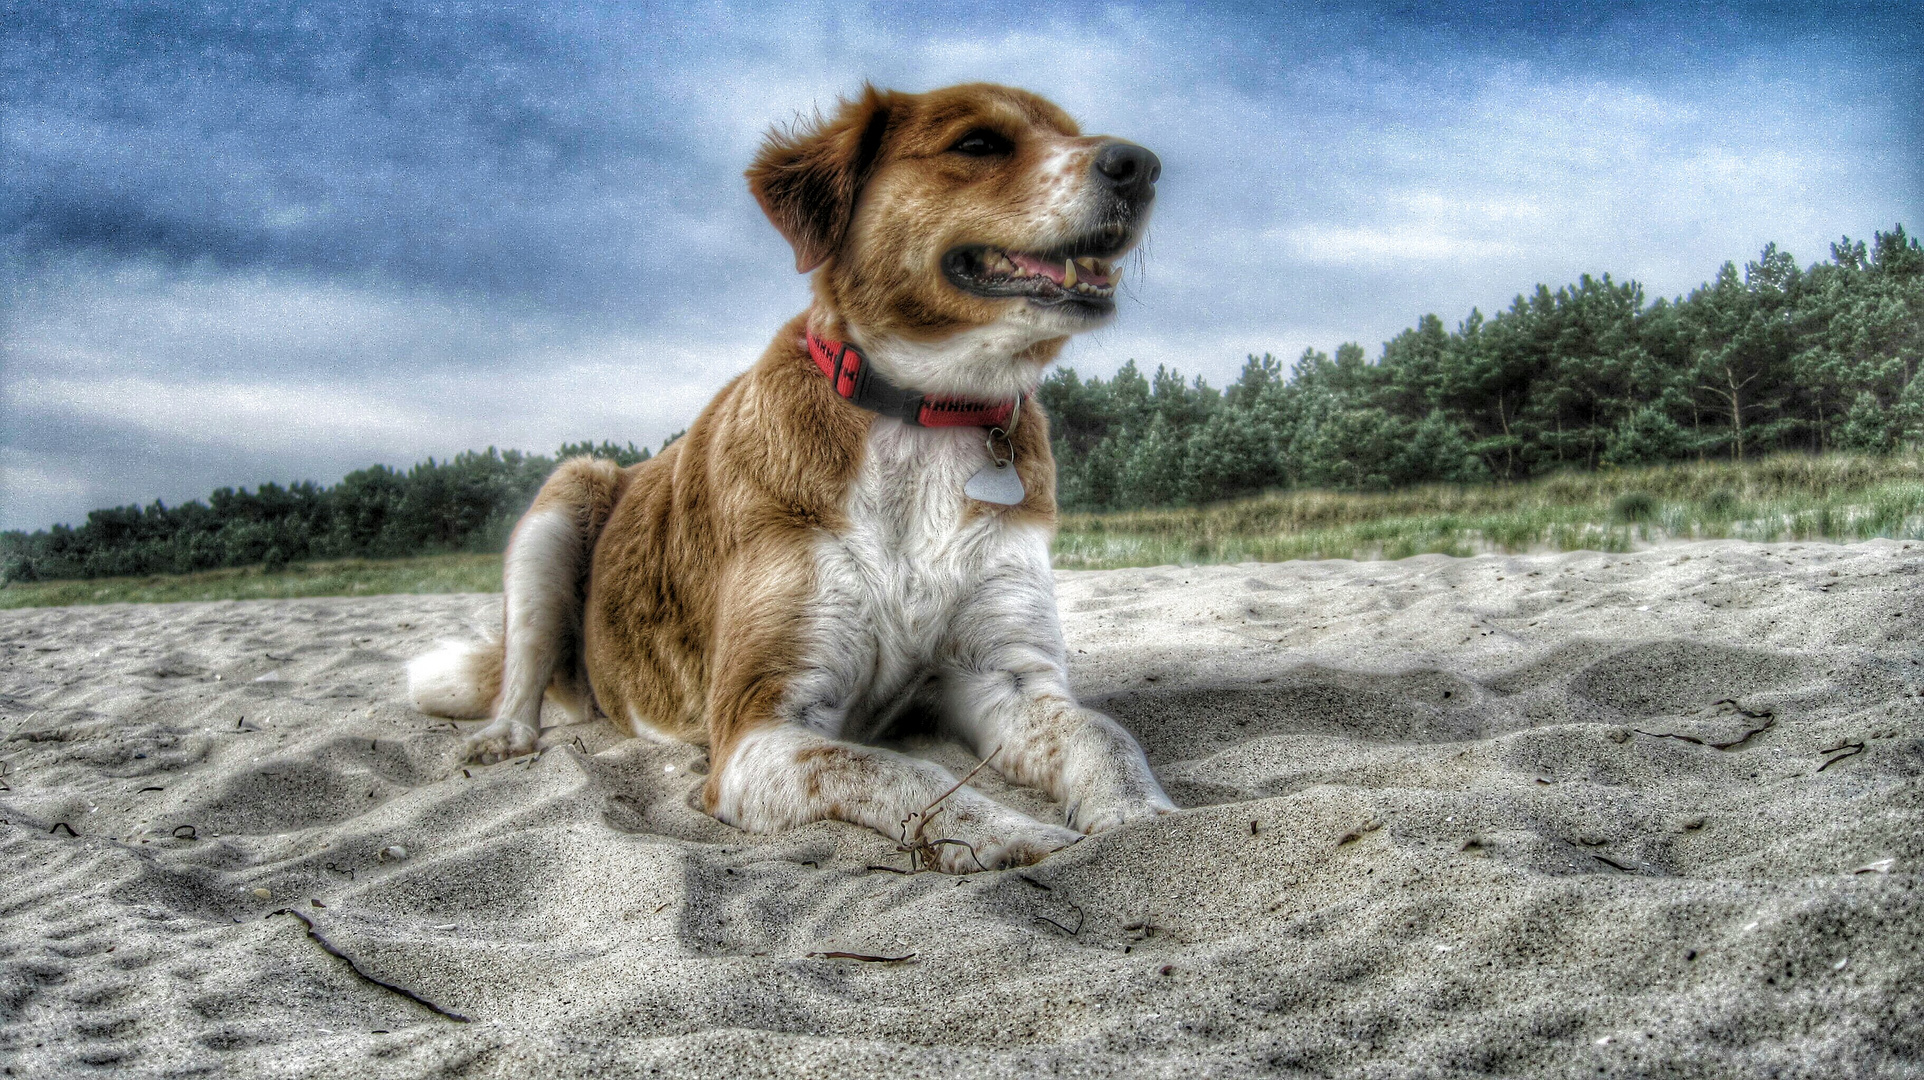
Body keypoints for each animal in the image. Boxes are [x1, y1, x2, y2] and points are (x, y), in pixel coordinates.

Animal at [409, 86, 1169, 877]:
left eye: (1075, 133)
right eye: (979, 144)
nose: (1141, 164)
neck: (920, 420)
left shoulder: (1007, 678)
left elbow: (1104, 736)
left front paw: (1144, 822)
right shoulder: (759, 730)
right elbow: (905, 772)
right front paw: (1009, 834)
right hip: (562, 501)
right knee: (520, 672)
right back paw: (503, 736)